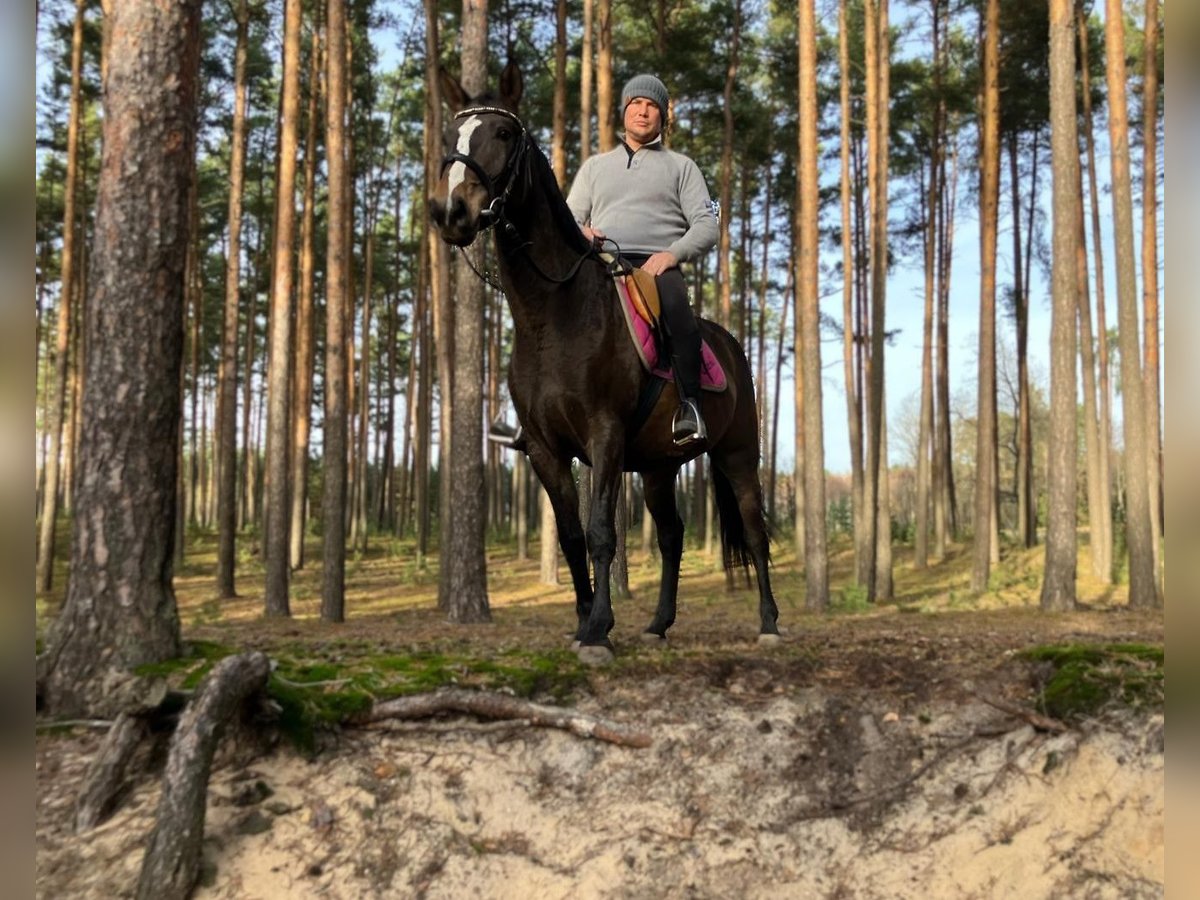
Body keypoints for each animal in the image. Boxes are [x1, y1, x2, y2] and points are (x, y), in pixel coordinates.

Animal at [429, 62, 780, 664]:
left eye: (503, 133)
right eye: (451, 135)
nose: (452, 212)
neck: (554, 316)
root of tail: (730, 345)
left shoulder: (605, 435)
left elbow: (599, 532)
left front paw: (598, 630)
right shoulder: (544, 450)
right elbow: (572, 536)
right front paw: (581, 623)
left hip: (737, 453)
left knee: (754, 530)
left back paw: (769, 623)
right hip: (661, 467)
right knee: (672, 535)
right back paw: (659, 624)